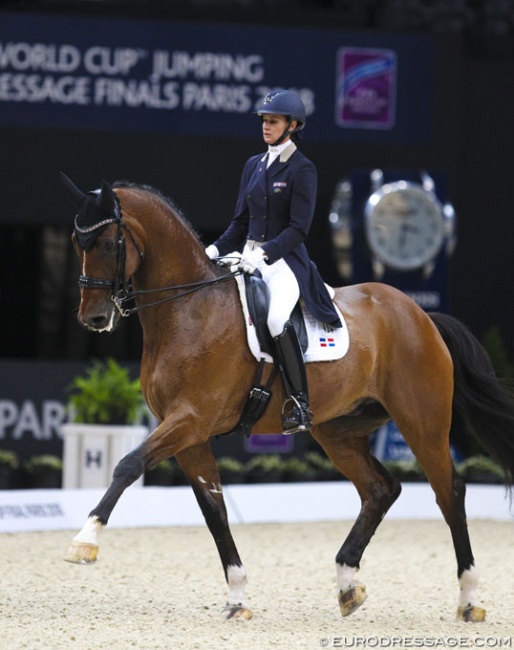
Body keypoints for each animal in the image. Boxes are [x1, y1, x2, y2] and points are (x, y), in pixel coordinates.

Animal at [61, 175, 512, 620]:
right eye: (76, 243)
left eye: (107, 243)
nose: (94, 318)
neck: (189, 310)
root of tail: (421, 315)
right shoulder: (190, 435)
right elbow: (214, 510)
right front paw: (237, 596)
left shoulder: (190, 419)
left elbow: (128, 464)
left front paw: (85, 541)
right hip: (338, 431)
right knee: (380, 489)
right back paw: (348, 584)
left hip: (422, 422)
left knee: (449, 491)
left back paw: (469, 599)